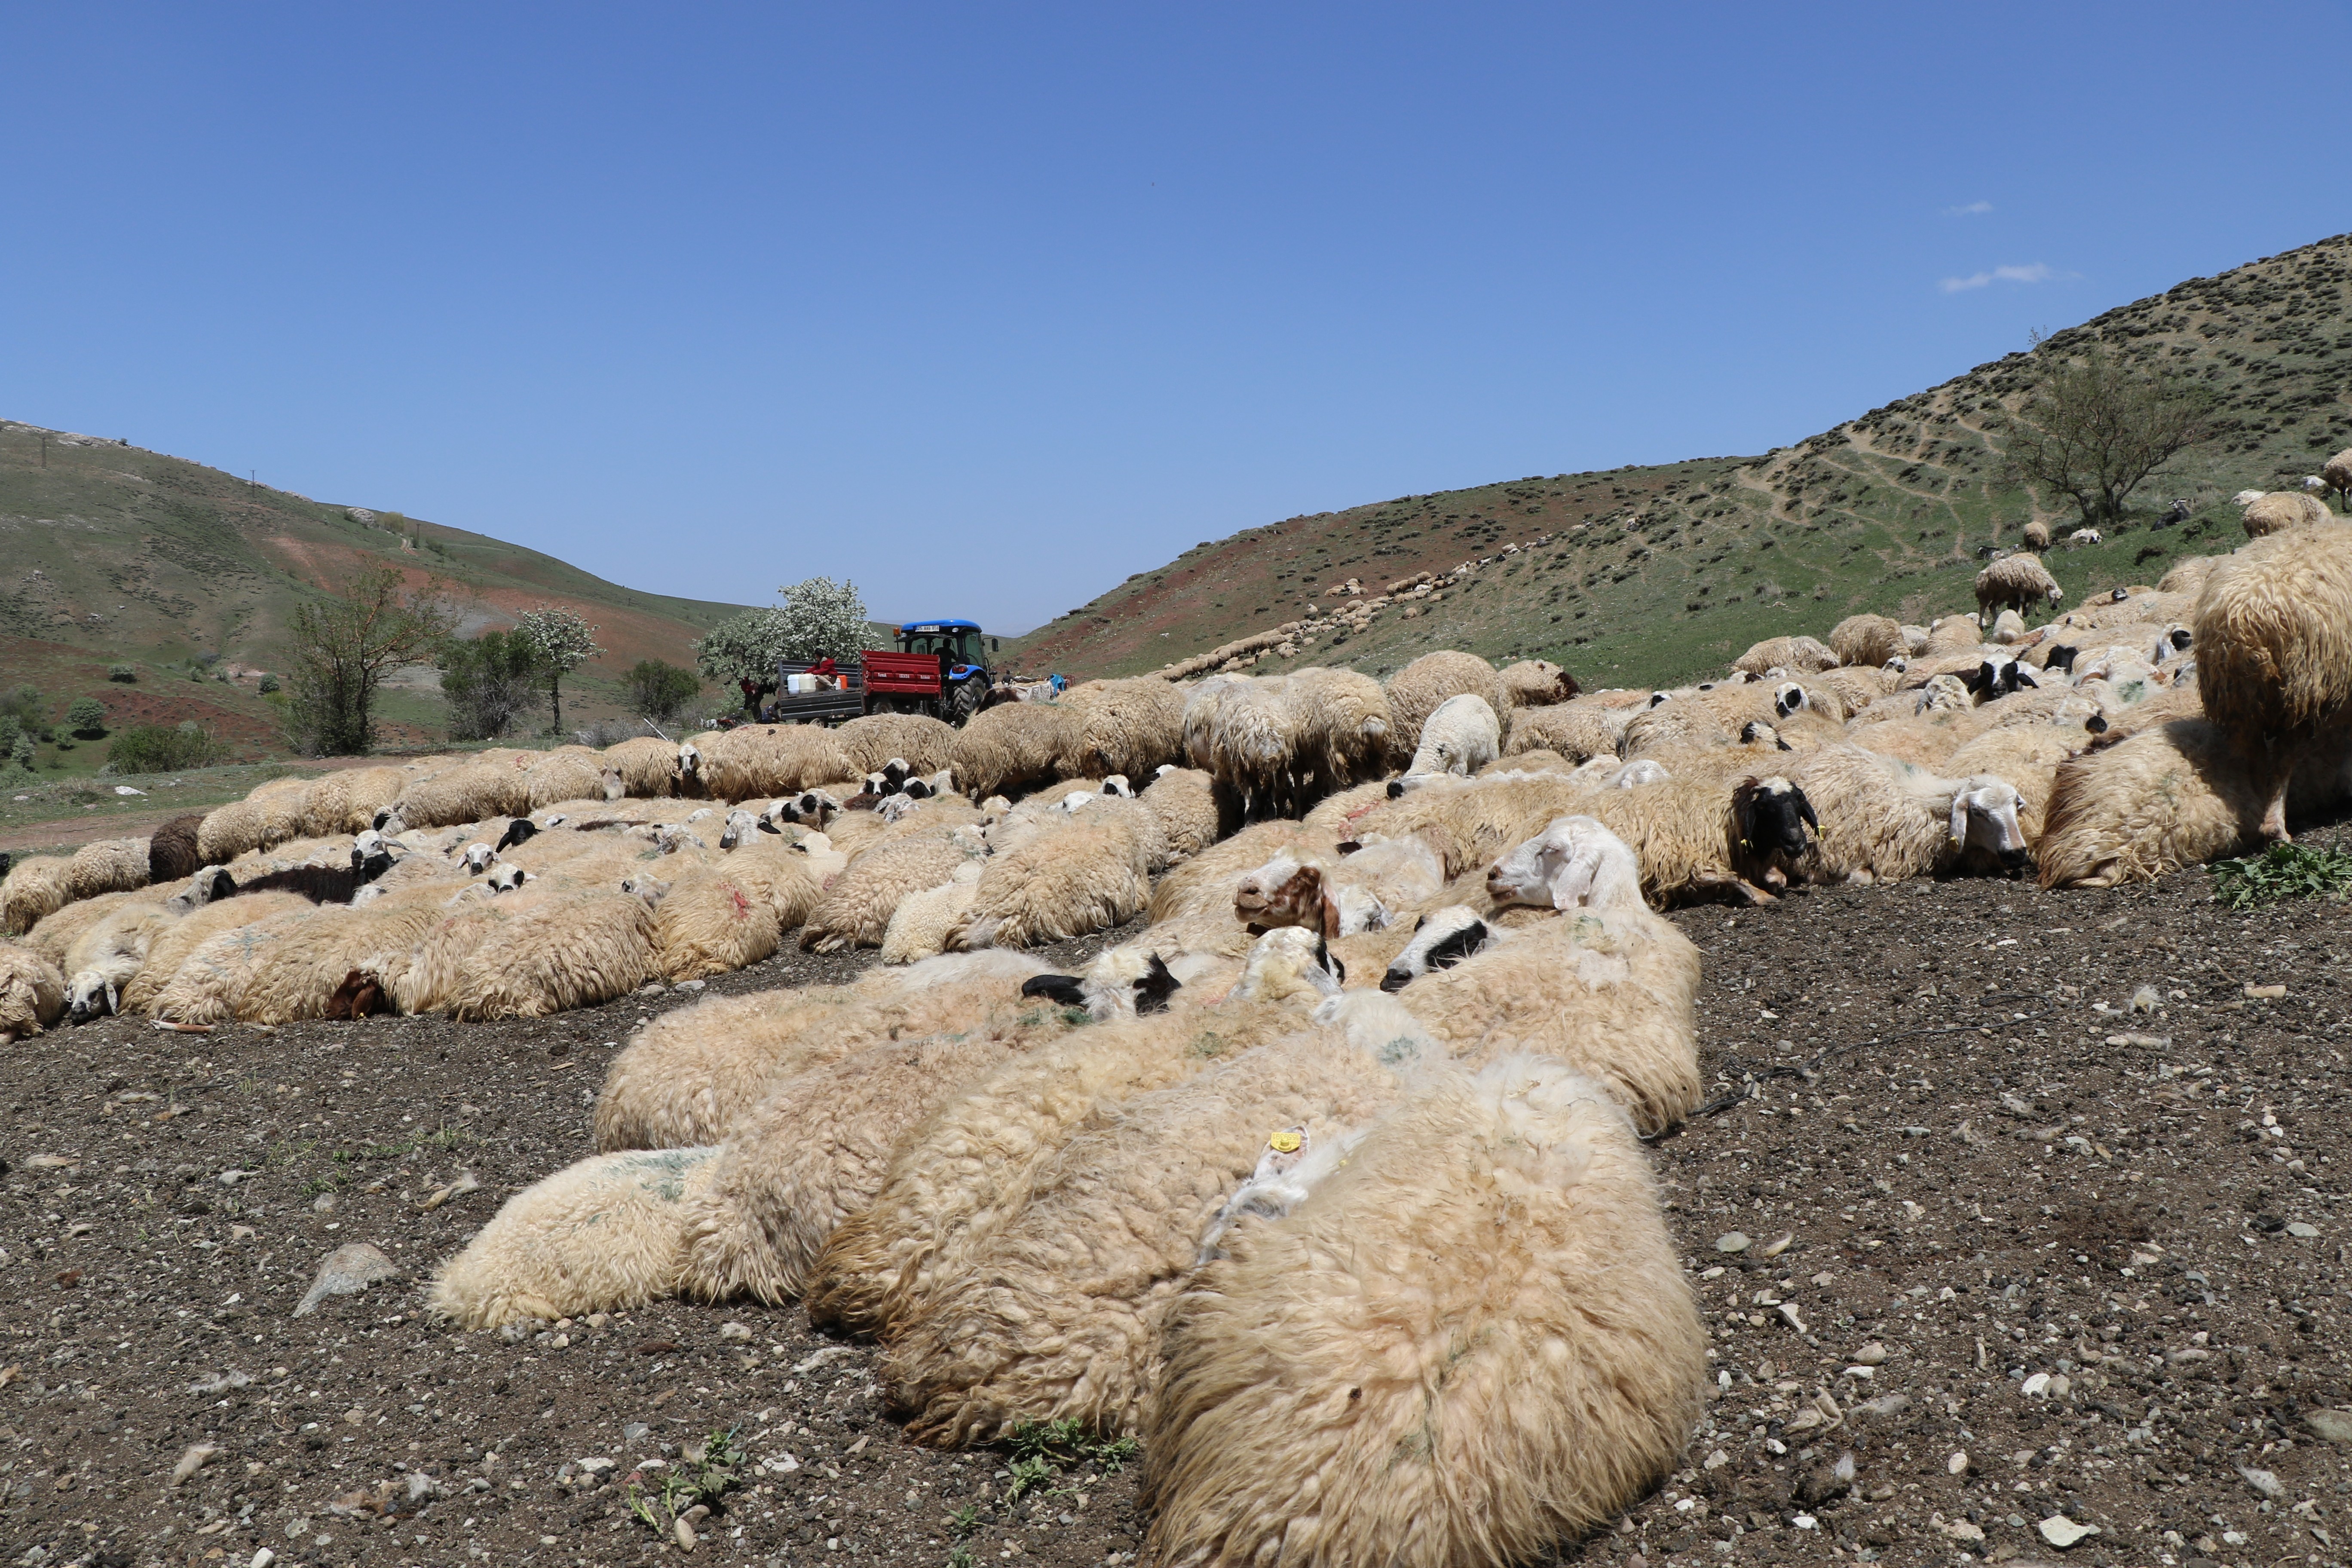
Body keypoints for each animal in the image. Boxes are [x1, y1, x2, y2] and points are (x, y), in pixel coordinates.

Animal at [1975, 554, 2070, 620]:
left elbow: (2033, 599)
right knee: (1982, 609)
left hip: (1999, 594)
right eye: (2059, 598)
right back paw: (1980, 625)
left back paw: (1997, 619)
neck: (2041, 577)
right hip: (1986, 593)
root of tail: (1980, 575)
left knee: (1992, 607)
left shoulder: (2030, 587)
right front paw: (2020, 614)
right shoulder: (2023, 587)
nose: (2055, 608)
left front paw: (2029, 612)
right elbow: (2022, 601)